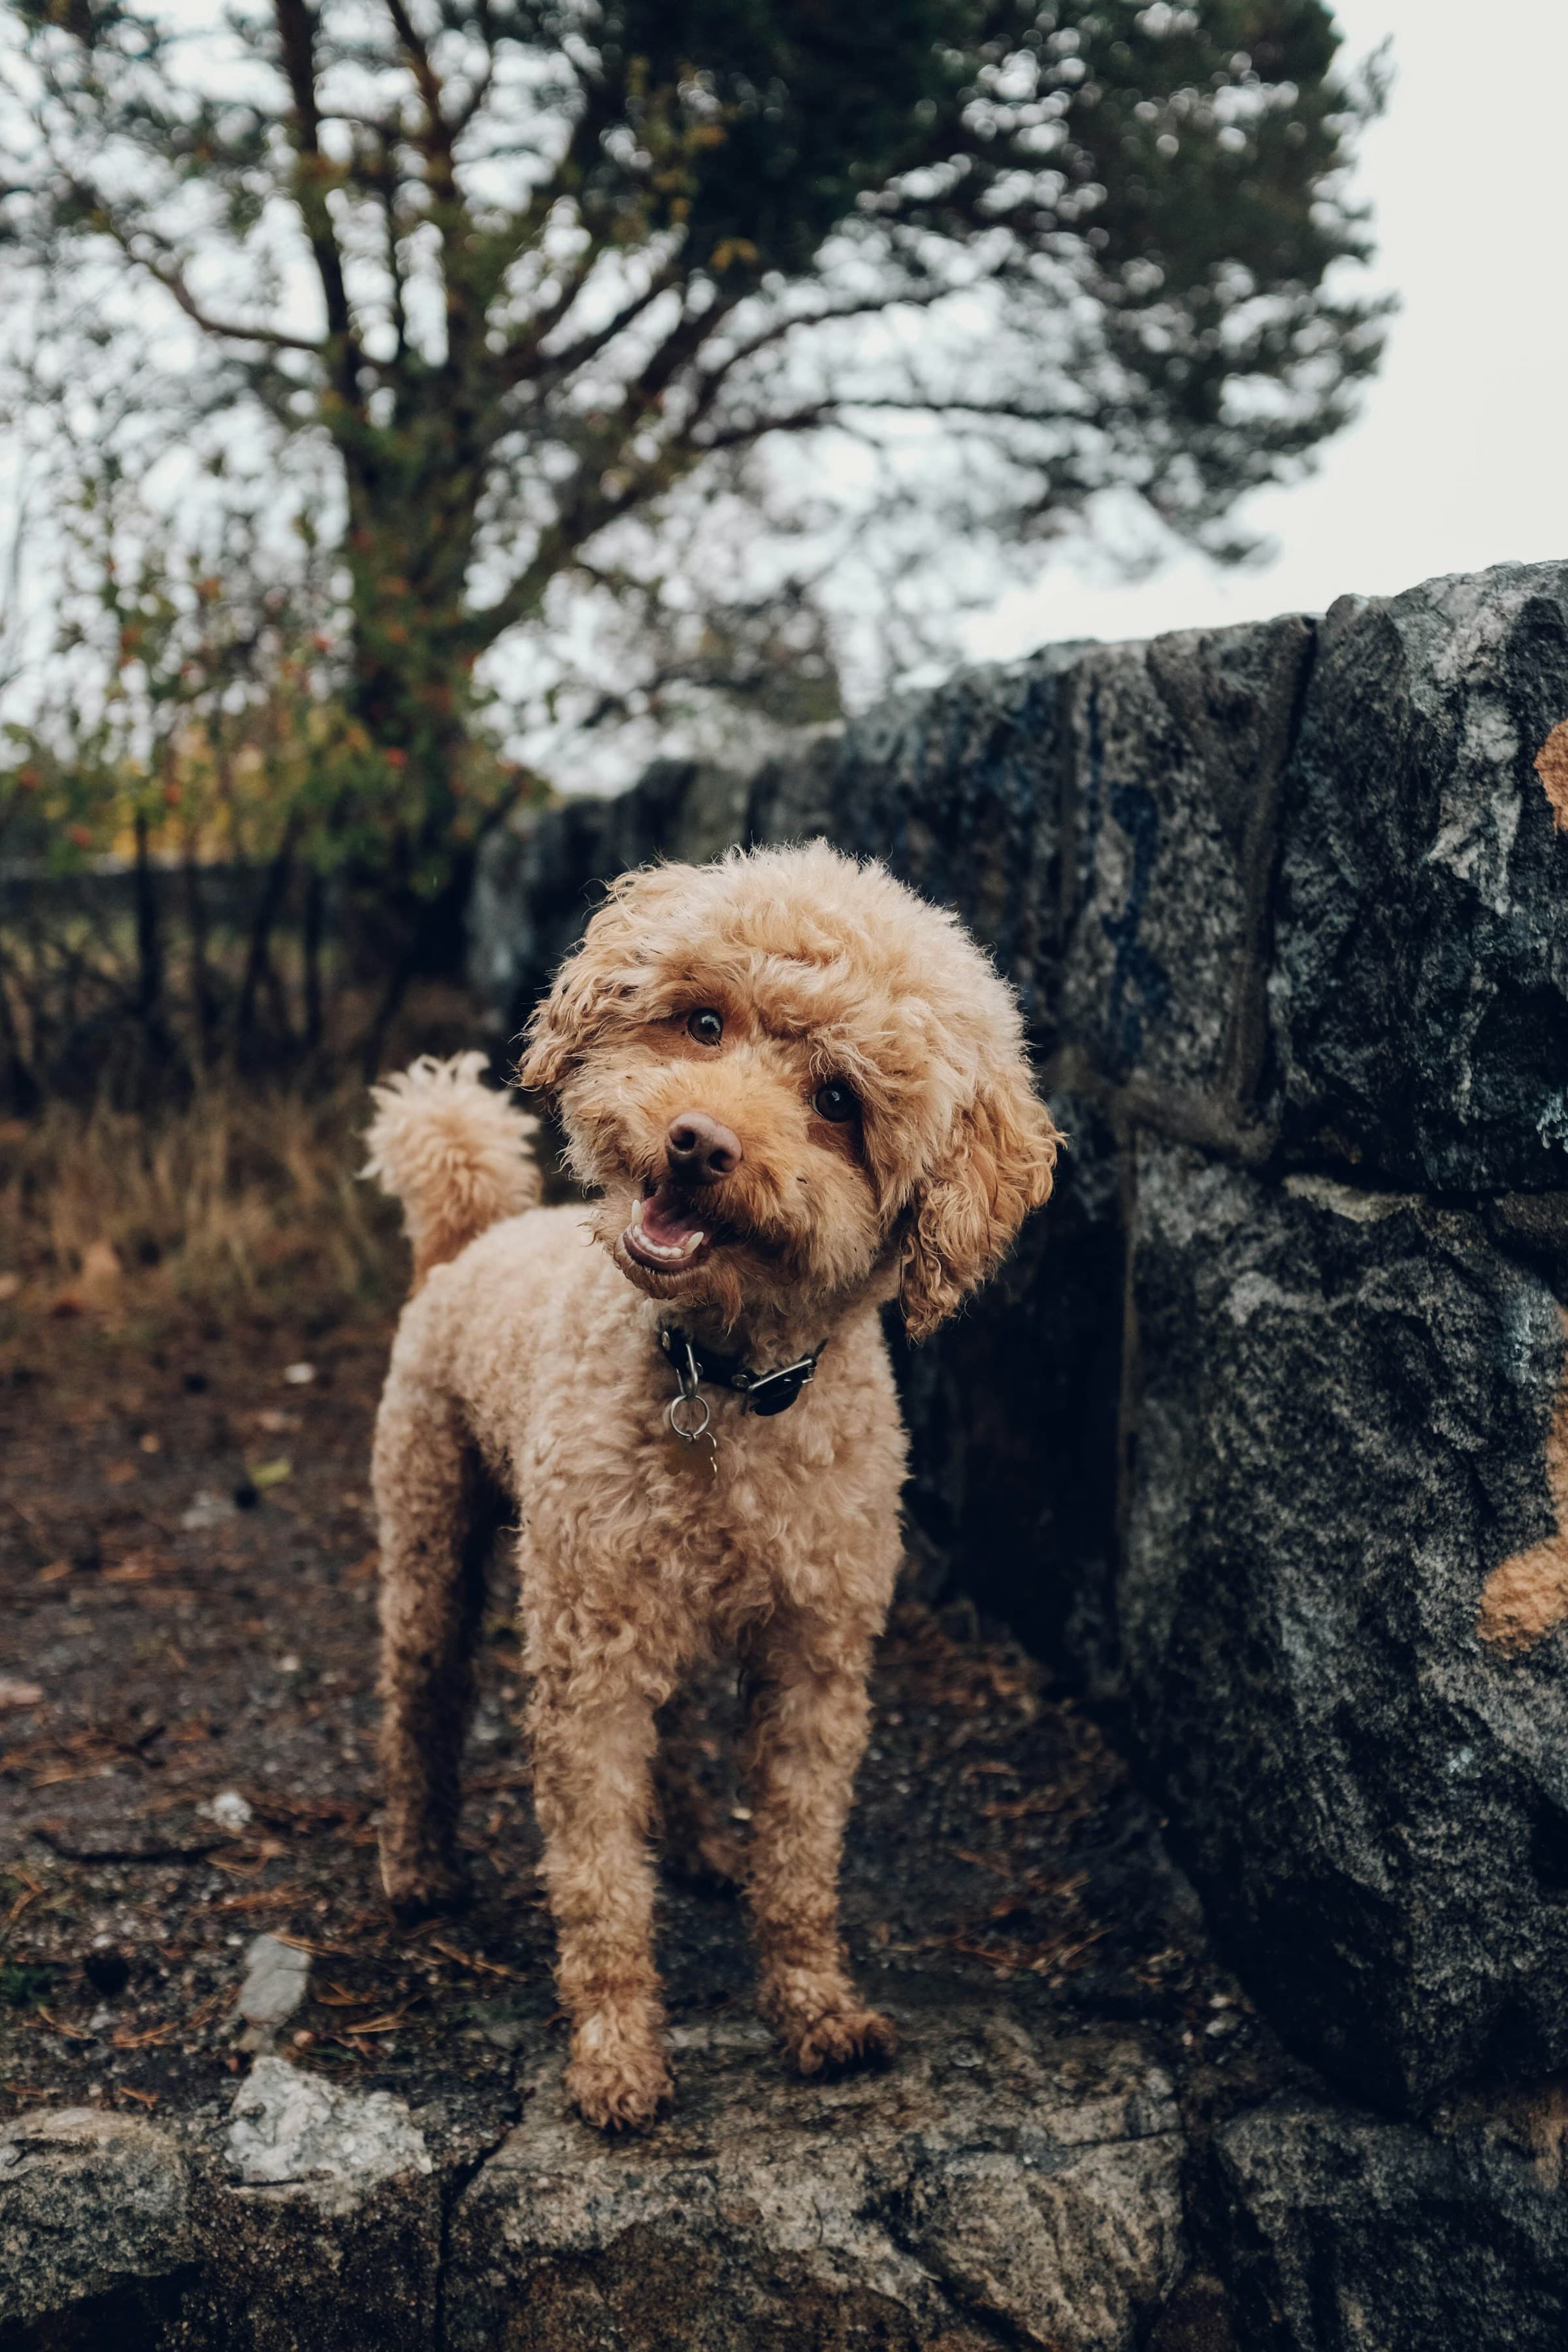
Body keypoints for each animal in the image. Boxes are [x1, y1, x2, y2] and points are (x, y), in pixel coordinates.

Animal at [364, 847, 1053, 2135]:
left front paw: (818, 2011)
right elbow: (596, 1878)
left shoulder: (817, 1662)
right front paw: (616, 2057)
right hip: (430, 1530)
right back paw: (419, 1866)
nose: (696, 1142)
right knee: (419, 1704)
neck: (721, 1383)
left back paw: (694, 1845)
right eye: (701, 1023)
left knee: (673, 1730)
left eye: (838, 1100)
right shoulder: (587, 1664)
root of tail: (469, 1238)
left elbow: (800, 1862)